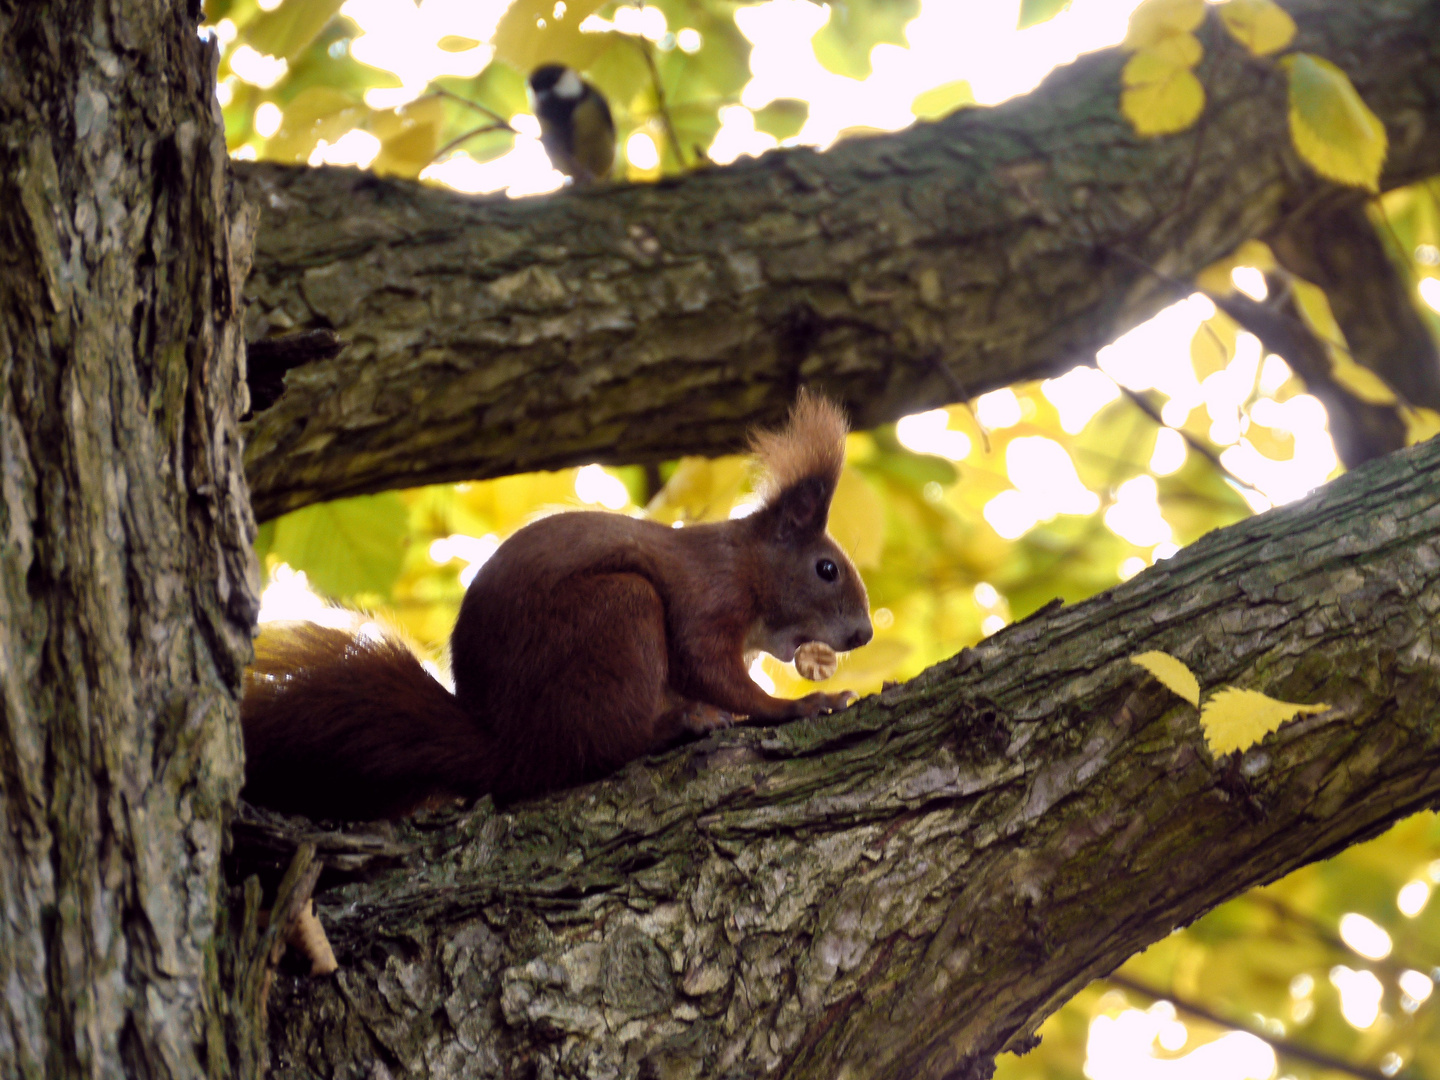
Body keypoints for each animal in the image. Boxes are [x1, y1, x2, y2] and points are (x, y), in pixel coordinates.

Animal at [241, 391, 869, 817]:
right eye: (827, 569)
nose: (863, 634)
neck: (744, 564)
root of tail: (511, 746)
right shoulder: (708, 596)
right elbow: (709, 667)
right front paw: (799, 706)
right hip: (618, 613)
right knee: (604, 745)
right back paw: (678, 724)